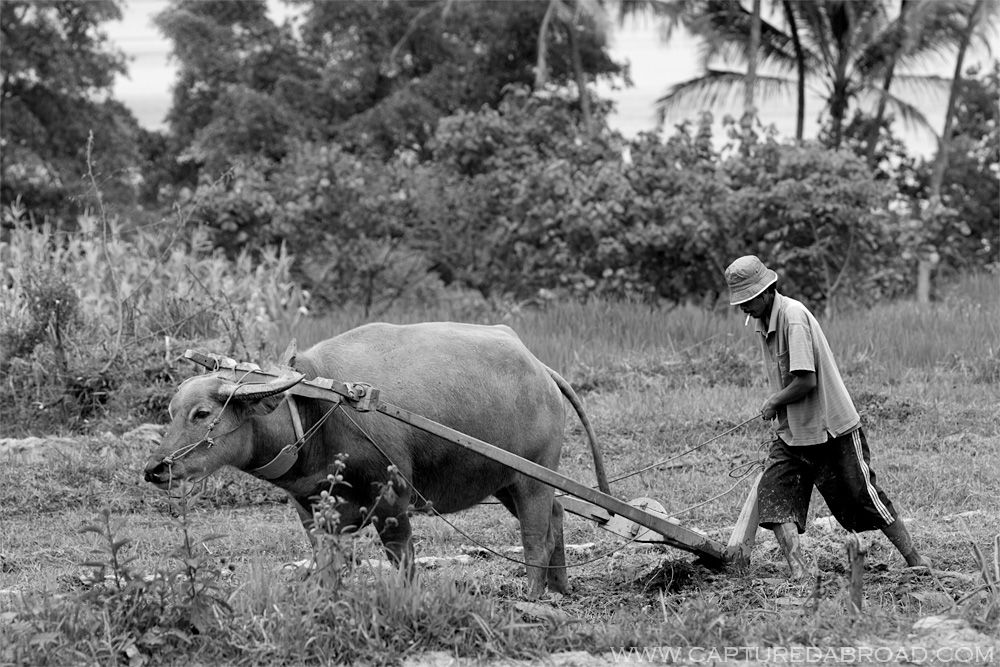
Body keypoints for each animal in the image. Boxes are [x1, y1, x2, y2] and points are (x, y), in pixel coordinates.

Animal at [143, 322, 609, 597]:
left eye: (202, 413)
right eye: (170, 412)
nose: (155, 469)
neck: (316, 411)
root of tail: (542, 369)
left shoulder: (392, 501)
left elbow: (402, 559)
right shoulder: (313, 512)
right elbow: (328, 563)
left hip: (533, 476)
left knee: (535, 533)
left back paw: (532, 595)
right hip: (506, 480)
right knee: (557, 513)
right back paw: (562, 588)